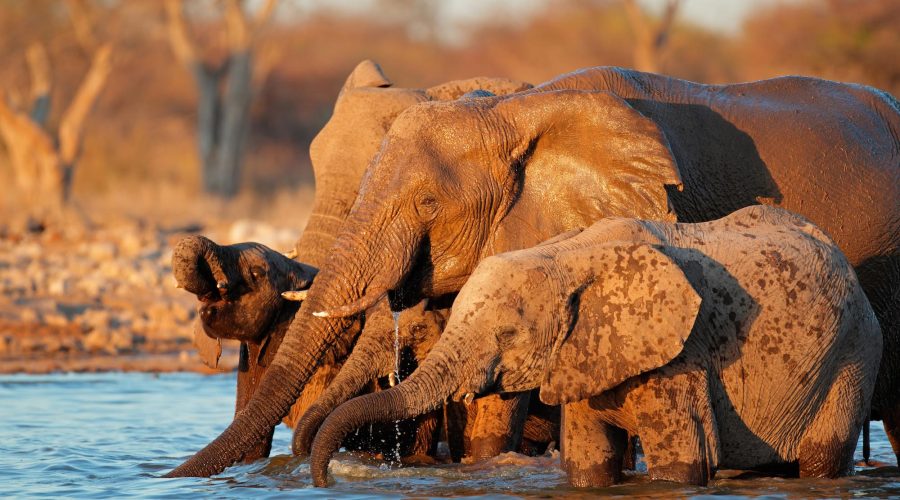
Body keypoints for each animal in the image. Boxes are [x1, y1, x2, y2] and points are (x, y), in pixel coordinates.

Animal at [309, 205, 883, 487]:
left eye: (507, 336)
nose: (324, 481)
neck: (564, 256)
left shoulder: (681, 356)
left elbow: (684, 462)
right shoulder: (583, 354)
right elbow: (589, 464)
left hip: (853, 355)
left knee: (821, 456)